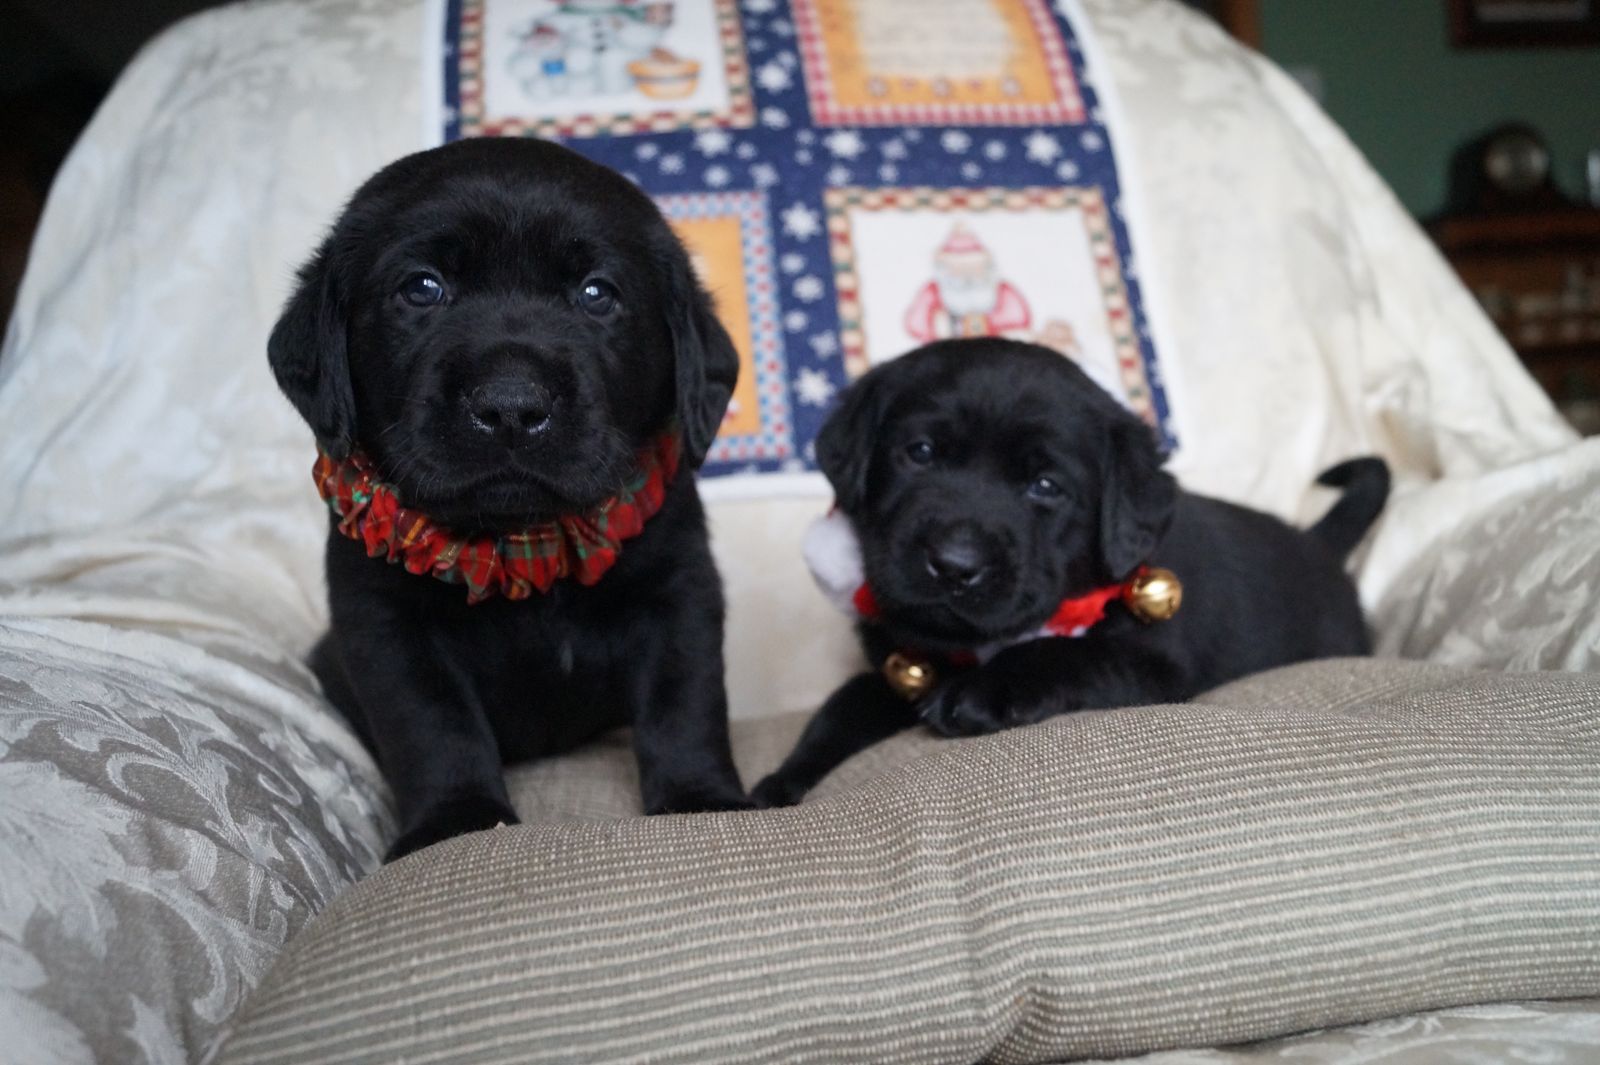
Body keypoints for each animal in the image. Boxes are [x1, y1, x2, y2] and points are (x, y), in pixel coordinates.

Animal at [269, 138, 751, 860]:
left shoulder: (679, 587)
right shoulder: (382, 622)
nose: (512, 405)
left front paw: (700, 798)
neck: (521, 536)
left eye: (597, 294)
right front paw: (458, 820)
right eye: (422, 288)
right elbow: (432, 723)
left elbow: (684, 699)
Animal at [753, 338, 1389, 806]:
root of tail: (1317, 542)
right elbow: (842, 706)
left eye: (1045, 486)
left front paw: (983, 691)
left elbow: (1065, 653)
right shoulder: (900, 666)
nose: (956, 566)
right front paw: (779, 785)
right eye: (921, 453)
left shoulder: (1154, 662)